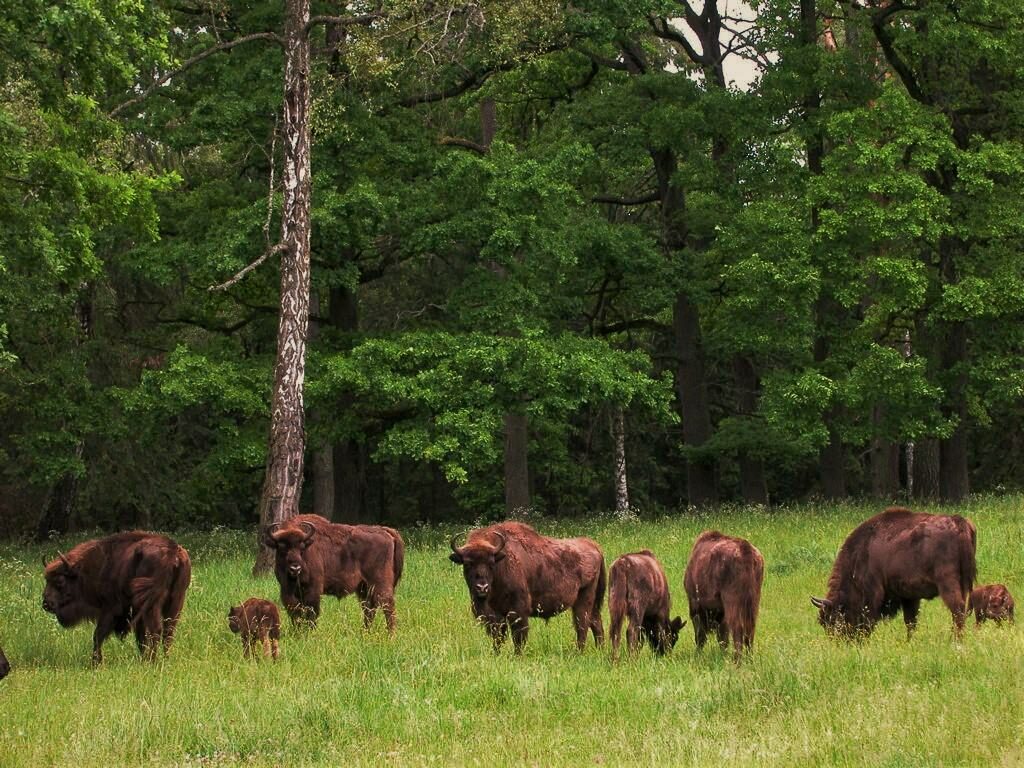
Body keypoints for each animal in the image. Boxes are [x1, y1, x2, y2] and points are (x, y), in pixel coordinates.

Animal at [41, 532, 192, 663]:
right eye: (46, 580)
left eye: (60, 581)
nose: (46, 604)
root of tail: (173, 552)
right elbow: (140, 636)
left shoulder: (111, 608)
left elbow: (98, 634)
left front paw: (96, 663)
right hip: (176, 600)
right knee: (168, 632)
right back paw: (164, 660)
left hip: (152, 604)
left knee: (156, 630)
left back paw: (153, 661)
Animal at [264, 514, 403, 634]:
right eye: (282, 548)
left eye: (302, 547)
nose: (295, 568)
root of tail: (384, 531)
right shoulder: (287, 591)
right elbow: (295, 613)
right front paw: (298, 633)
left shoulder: (313, 591)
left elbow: (311, 613)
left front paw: (309, 633)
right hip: (364, 587)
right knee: (369, 608)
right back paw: (365, 632)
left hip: (379, 584)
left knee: (387, 605)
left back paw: (390, 635)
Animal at [450, 524, 606, 655]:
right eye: (468, 563)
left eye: (491, 563)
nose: (482, 587)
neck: (502, 563)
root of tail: (593, 545)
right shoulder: (495, 616)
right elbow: (498, 637)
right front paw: (496, 654)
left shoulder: (518, 611)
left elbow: (518, 636)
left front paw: (517, 655)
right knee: (595, 622)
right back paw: (599, 650)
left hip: (583, 599)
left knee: (582, 624)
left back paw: (578, 652)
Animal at [684, 532, 765, 663]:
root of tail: (746, 549)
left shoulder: (696, 605)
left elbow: (701, 635)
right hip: (754, 601)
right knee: (750, 629)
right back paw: (749, 659)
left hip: (732, 601)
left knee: (738, 628)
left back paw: (737, 661)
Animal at [811, 507, 978, 638]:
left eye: (833, 619)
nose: (841, 643)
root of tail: (958, 521)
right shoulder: (910, 597)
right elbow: (910, 622)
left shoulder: (873, 592)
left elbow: (870, 619)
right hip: (963, 583)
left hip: (947, 583)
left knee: (957, 610)